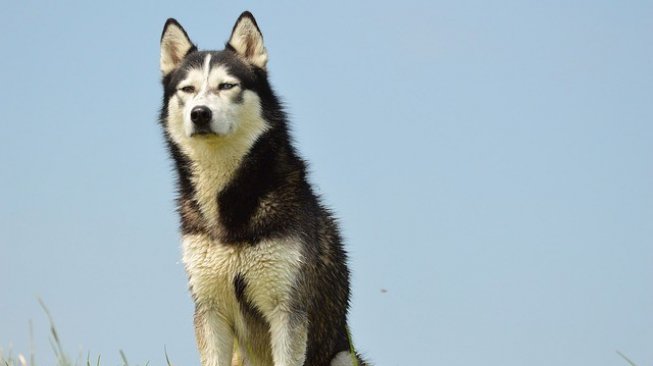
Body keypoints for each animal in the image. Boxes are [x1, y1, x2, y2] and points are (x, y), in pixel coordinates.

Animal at [158, 11, 366, 366]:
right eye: (187, 89)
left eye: (227, 85)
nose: (200, 114)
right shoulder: (209, 309)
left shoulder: (287, 310)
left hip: (344, 356)